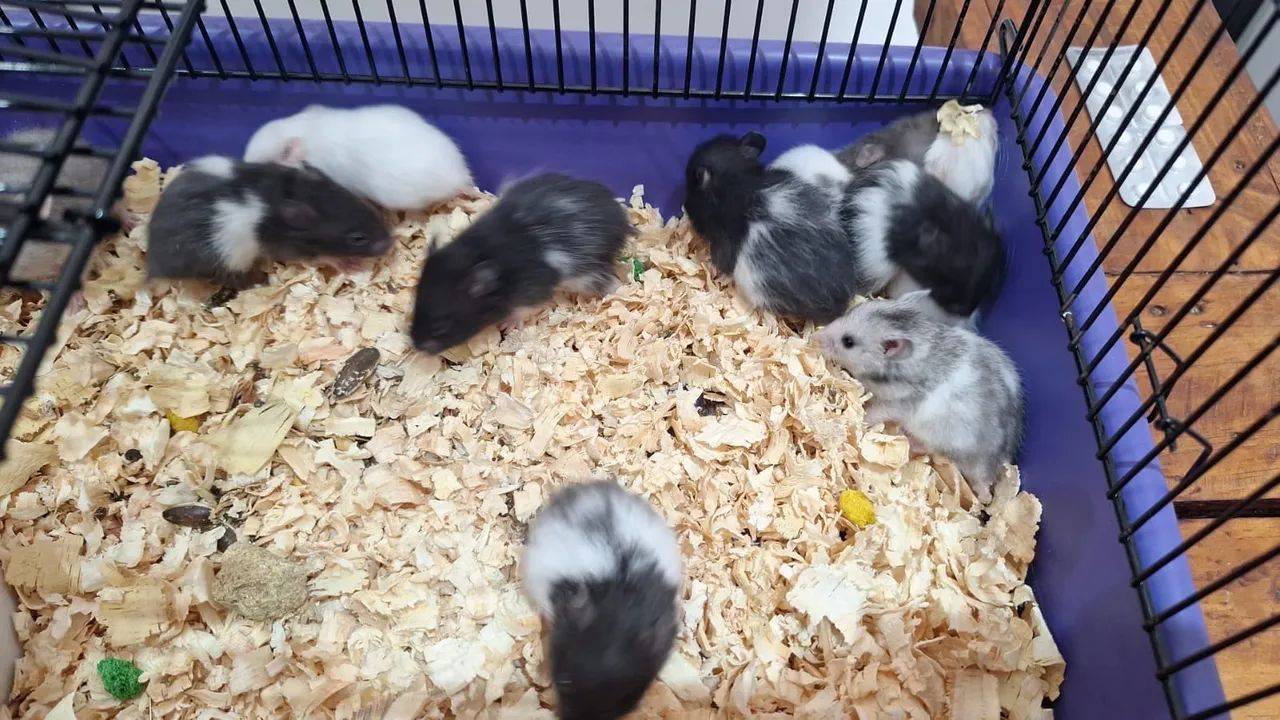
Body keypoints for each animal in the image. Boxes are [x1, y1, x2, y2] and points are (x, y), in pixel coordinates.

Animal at [146, 156, 392, 284]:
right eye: (357, 238)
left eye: (366, 206)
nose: (391, 245)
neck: (294, 192)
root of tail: (152, 263)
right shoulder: (287, 248)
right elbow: (322, 257)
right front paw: (350, 265)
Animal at [410, 172, 631, 354]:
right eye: (414, 306)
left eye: (441, 326)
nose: (416, 345)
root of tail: (623, 217)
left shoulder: (532, 291)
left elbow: (521, 311)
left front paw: (506, 325)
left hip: (588, 274)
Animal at [816, 292, 1024, 502]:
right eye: (849, 311)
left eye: (848, 342)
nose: (818, 336)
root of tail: (992, 468)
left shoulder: (898, 404)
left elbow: (876, 411)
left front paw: (861, 419)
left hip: (940, 434)